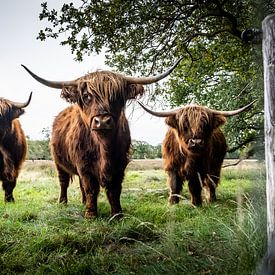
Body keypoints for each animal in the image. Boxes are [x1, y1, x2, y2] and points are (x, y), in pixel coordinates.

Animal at [22, 59, 182, 219]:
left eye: (117, 97)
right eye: (87, 96)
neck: (103, 147)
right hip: (58, 162)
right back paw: (62, 202)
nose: (103, 121)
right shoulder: (84, 164)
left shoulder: (119, 164)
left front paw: (117, 214)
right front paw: (91, 215)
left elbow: (114, 190)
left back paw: (83, 202)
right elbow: (91, 188)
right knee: (63, 181)